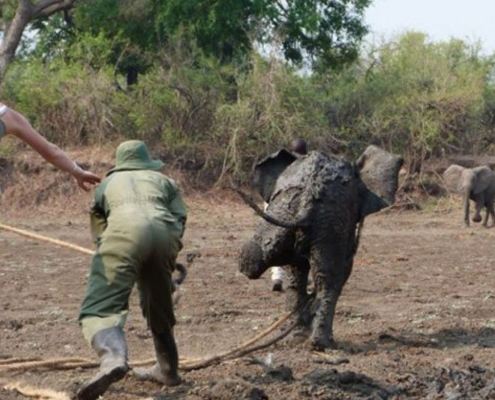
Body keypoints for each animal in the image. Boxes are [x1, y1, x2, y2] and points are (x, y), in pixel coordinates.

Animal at [238, 146, 404, 350]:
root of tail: (308, 197)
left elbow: (297, 271)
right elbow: (343, 269)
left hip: (286, 214)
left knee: (272, 265)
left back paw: (297, 337)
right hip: (328, 221)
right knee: (328, 280)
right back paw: (322, 343)